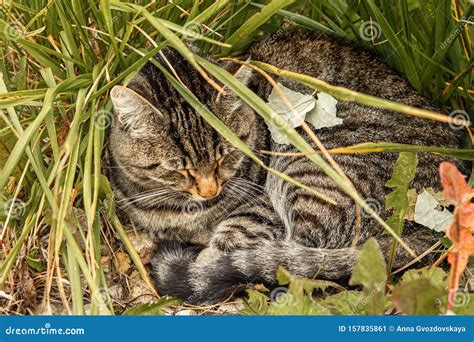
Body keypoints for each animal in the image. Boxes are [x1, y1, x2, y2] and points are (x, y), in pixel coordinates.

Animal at [107, 30, 466, 304]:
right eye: (178, 168)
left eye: (226, 154)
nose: (210, 190)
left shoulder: (260, 205)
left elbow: (230, 239)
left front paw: (205, 264)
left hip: (314, 169)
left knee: (296, 261)